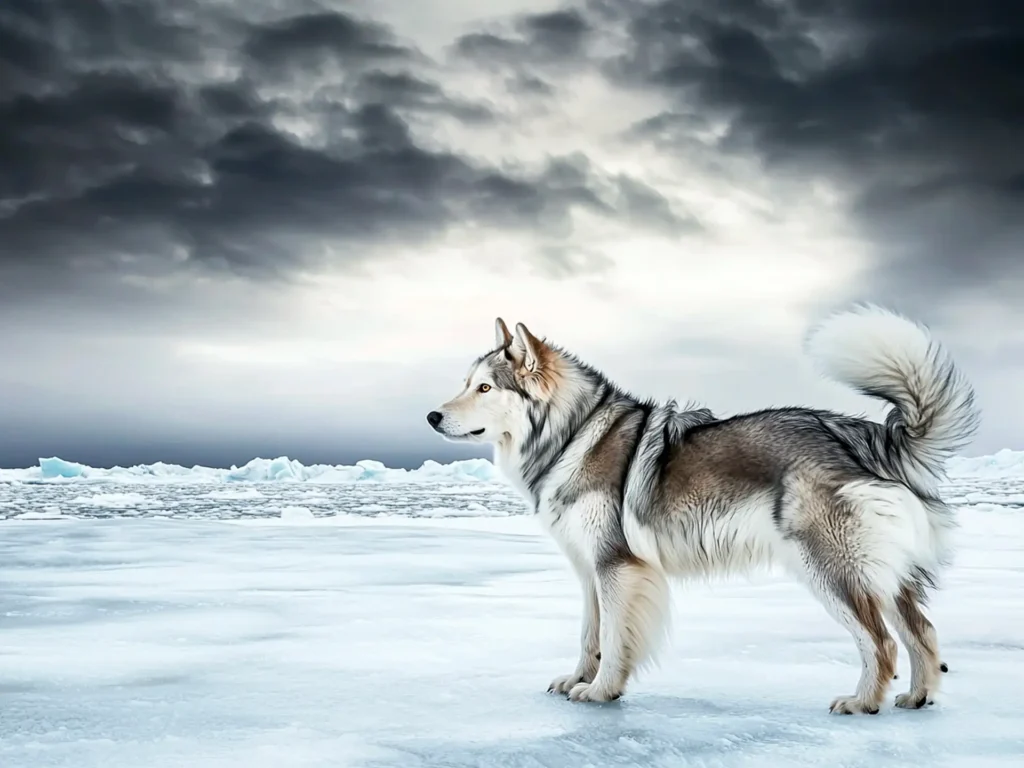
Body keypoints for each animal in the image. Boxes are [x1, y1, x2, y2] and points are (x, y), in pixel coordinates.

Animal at [423, 307, 974, 716]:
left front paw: (601, 692)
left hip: (827, 569)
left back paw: (862, 702)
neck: (572, 436)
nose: (430, 416)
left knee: (881, 642)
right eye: (466, 383)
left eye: (485, 388)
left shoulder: (618, 566)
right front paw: (578, 680)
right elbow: (589, 635)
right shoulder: (589, 570)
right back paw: (917, 697)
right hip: (880, 575)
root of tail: (866, 435)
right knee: (922, 631)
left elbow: (615, 641)